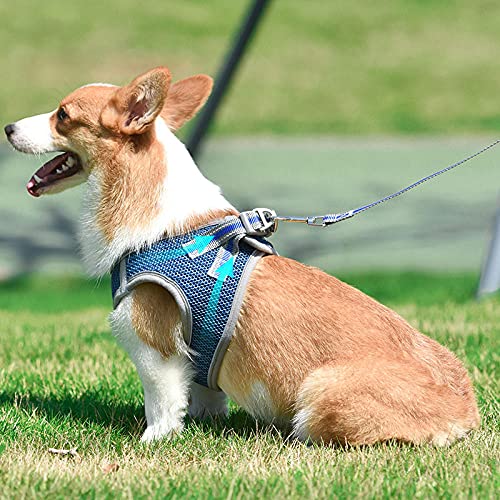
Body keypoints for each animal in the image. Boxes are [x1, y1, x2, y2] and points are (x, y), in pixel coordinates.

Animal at [3, 67, 480, 446]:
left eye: (63, 115)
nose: (7, 127)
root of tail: (465, 412)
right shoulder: (195, 358)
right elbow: (200, 393)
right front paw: (201, 422)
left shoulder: (152, 343)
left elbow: (161, 401)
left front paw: (153, 441)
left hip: (319, 391)